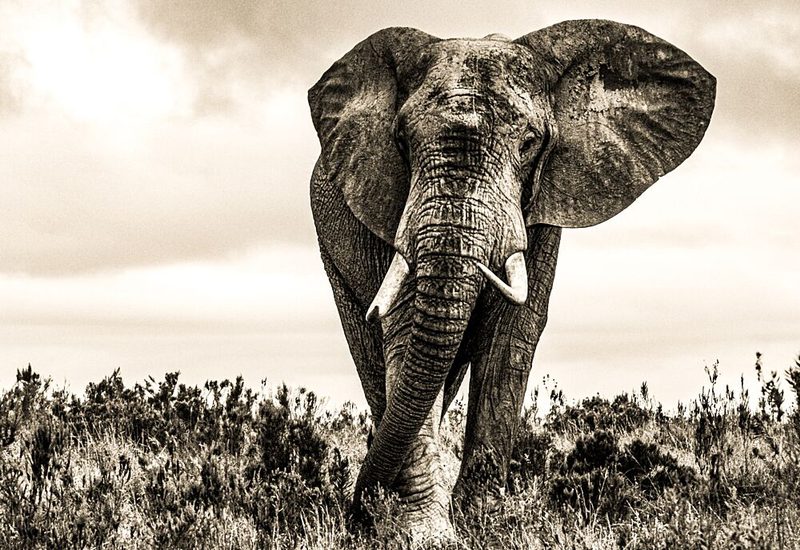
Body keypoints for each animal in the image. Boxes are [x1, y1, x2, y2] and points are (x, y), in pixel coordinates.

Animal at [308, 19, 715, 538]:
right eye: (401, 139)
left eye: (529, 143)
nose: (355, 509)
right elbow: (401, 332)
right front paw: (428, 533)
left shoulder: (545, 210)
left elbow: (510, 334)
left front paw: (484, 521)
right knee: (375, 359)